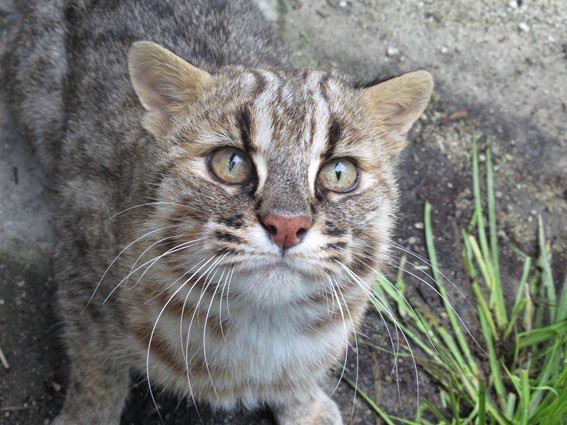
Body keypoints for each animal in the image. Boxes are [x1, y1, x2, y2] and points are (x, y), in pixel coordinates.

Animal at [2, 0, 432, 424]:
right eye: (231, 163)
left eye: (339, 173)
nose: (287, 226)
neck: (261, 320)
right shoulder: (79, 267)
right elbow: (95, 369)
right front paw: (88, 415)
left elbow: (303, 372)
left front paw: (304, 405)